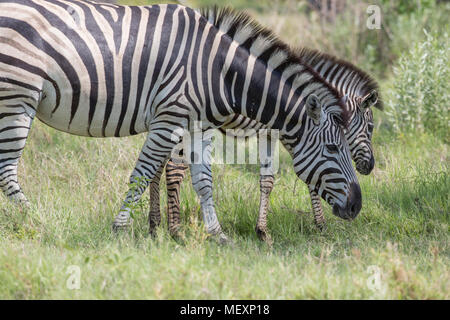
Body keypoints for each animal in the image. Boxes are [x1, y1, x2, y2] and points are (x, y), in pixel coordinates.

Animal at [0, 0, 360, 240]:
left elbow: (203, 182)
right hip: (18, 96)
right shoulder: (168, 118)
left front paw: (217, 235)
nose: (357, 206)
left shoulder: (197, 127)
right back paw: (37, 221)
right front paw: (119, 228)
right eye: (332, 149)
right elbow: (142, 174)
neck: (220, 72)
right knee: (7, 171)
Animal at [156, 46, 384, 241]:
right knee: (173, 168)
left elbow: (279, 179)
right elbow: (302, 178)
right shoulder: (285, 134)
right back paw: (173, 228)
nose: (370, 166)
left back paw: (155, 224)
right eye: (371, 127)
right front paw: (319, 224)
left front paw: (264, 229)